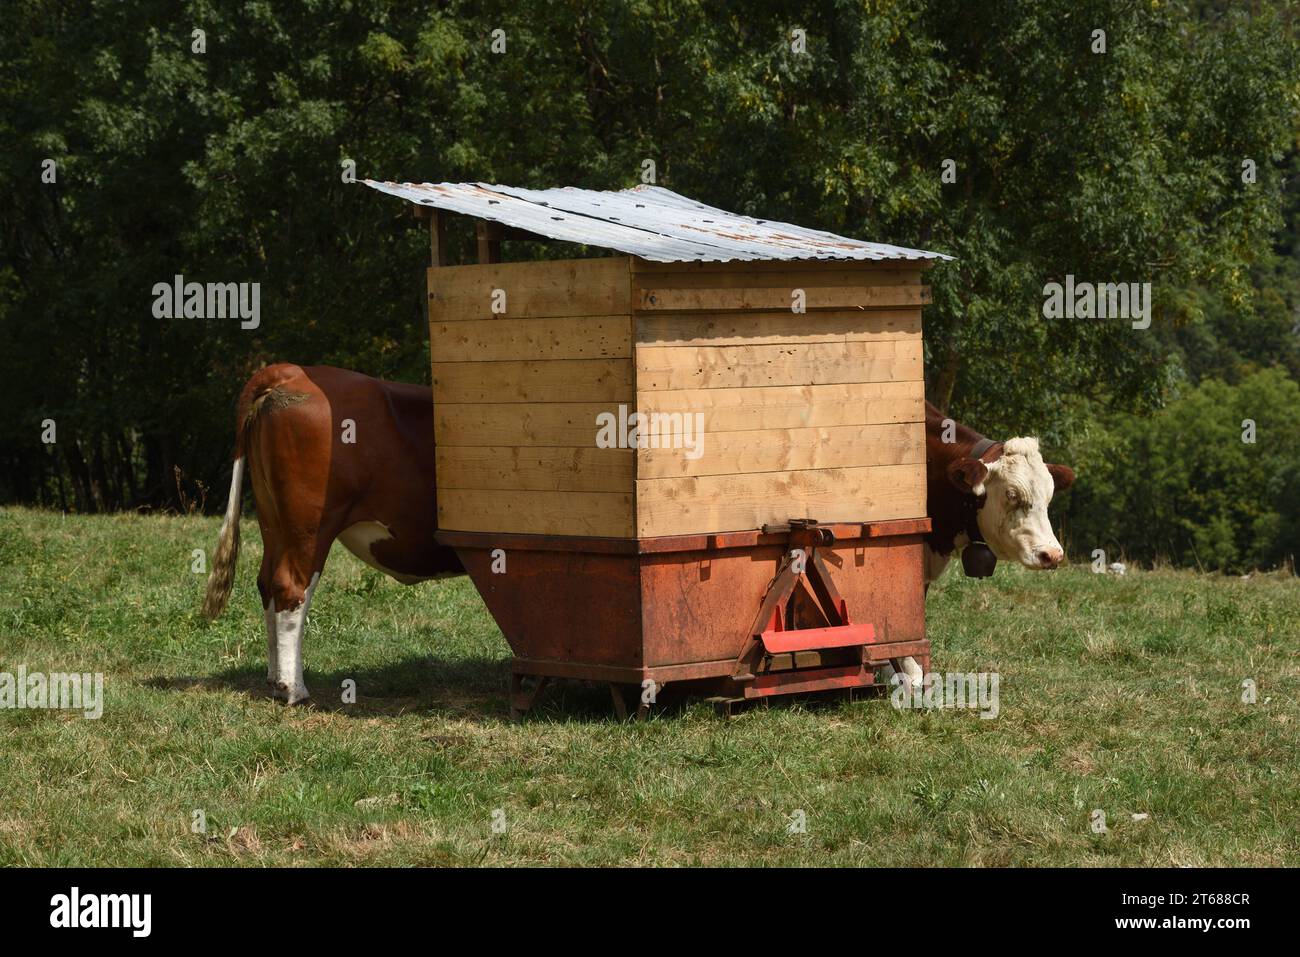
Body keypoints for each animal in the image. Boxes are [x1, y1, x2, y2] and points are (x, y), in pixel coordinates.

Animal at [202, 364, 1076, 702]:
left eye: (1046, 495)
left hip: (289, 528)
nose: (1055, 554)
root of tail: (287, 373)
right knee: (289, 593)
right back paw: (295, 689)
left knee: (275, 594)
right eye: (1013, 498)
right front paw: (905, 678)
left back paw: (280, 678)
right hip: (308, 527)